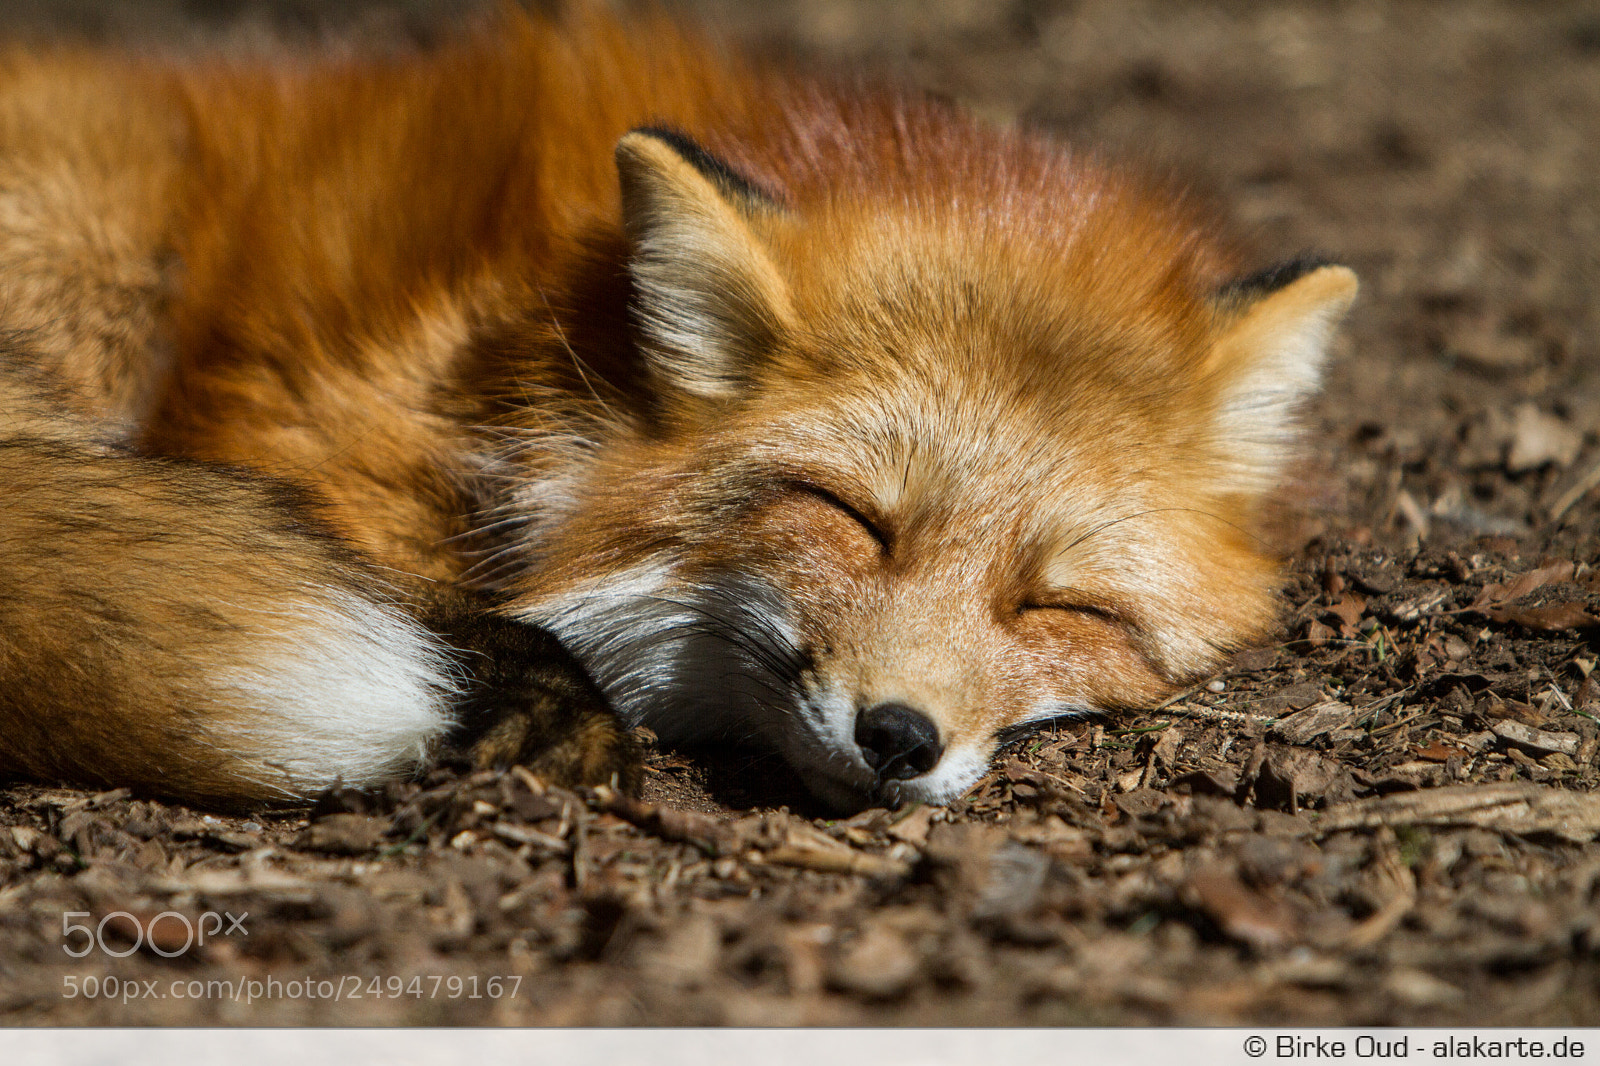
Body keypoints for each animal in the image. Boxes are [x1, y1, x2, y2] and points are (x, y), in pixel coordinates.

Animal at [0, 6, 1356, 813]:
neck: (554, 351)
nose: (899, 737)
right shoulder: (313, 436)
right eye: (850, 517)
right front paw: (539, 702)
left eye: (1059, 604)